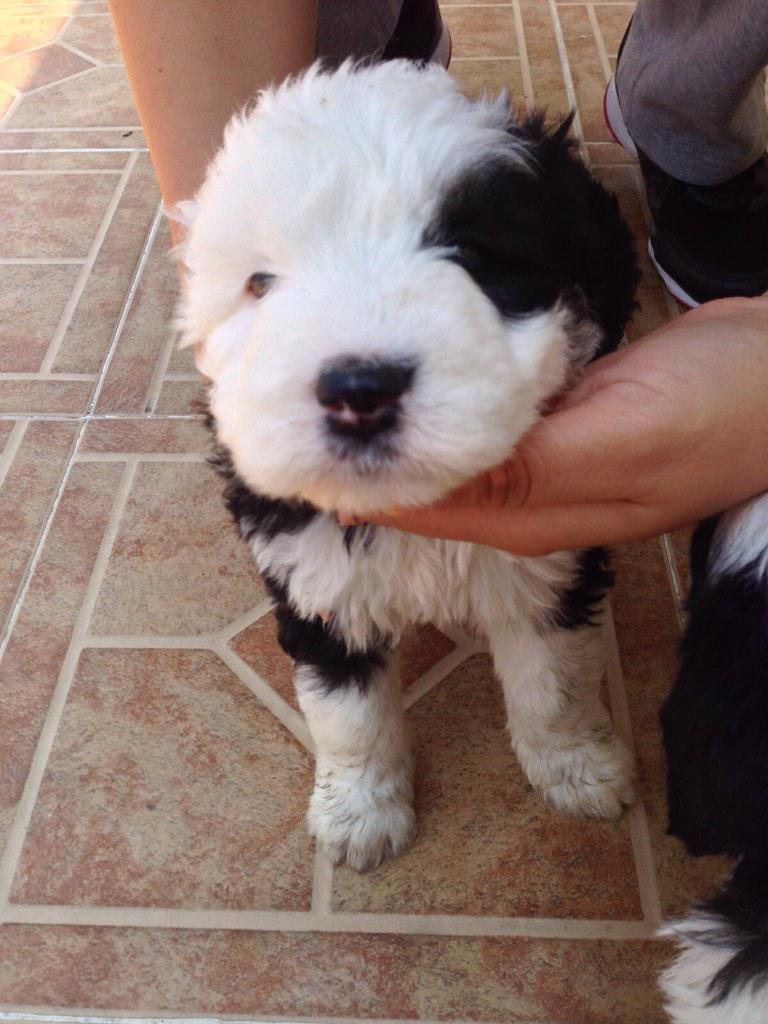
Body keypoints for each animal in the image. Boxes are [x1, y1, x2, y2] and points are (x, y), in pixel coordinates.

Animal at [177, 58, 638, 872]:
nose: (360, 389)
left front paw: (578, 770)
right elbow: (348, 712)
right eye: (261, 283)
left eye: (476, 257)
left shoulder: (551, 564)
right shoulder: (315, 577)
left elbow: (553, 683)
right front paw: (361, 811)